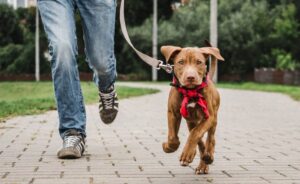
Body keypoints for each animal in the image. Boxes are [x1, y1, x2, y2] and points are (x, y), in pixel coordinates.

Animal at [161, 44, 224, 174]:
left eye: (199, 62)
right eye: (181, 62)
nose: (190, 77)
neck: (191, 91)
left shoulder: (208, 116)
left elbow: (196, 133)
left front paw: (188, 154)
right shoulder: (173, 112)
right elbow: (173, 137)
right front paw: (168, 147)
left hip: (214, 119)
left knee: (210, 138)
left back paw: (207, 157)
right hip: (191, 120)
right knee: (198, 138)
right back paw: (203, 160)